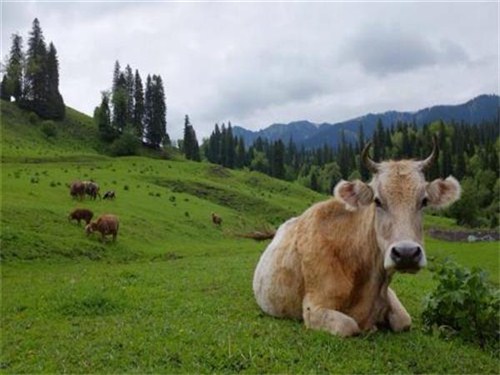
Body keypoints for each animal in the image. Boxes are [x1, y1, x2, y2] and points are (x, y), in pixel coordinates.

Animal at [252, 137, 462, 338]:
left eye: (424, 201)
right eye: (377, 201)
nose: (406, 253)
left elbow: (404, 321)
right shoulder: (314, 308)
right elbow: (349, 326)